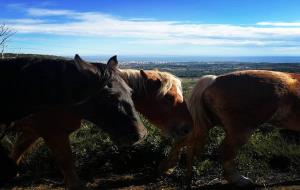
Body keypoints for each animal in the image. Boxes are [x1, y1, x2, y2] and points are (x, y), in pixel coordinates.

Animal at [10, 65, 193, 189]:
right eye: (169, 97)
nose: (189, 126)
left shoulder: (33, 130)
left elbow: (18, 151)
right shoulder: (53, 132)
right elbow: (66, 162)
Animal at [162, 70, 300, 187]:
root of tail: (214, 79)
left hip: (207, 123)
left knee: (185, 142)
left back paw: (173, 170)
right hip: (241, 130)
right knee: (225, 151)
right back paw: (240, 180)